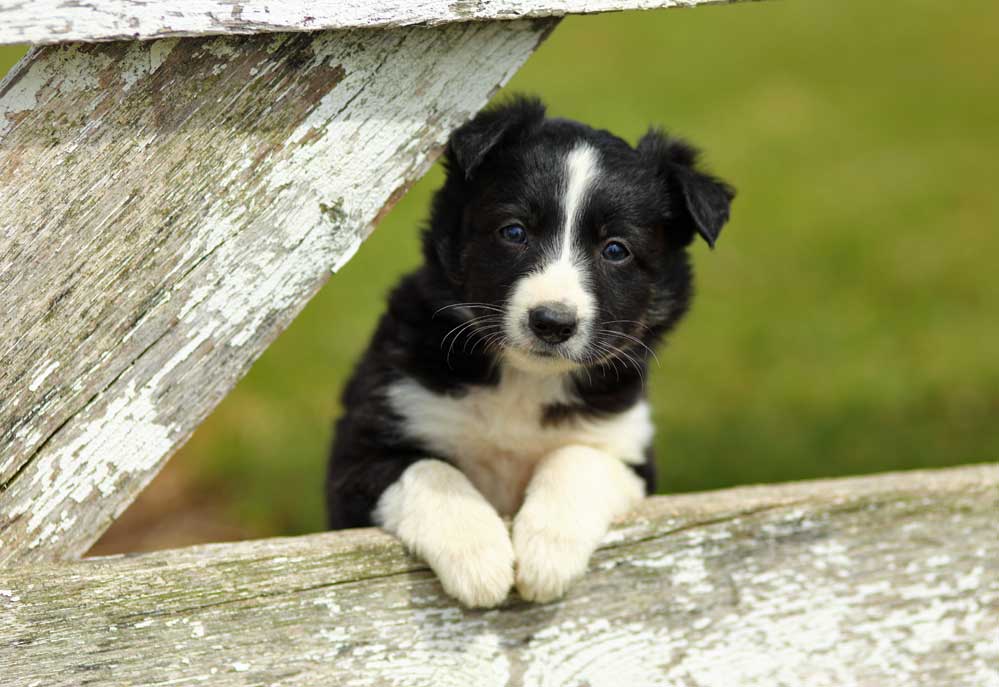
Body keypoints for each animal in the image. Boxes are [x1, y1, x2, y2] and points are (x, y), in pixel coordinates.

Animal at [328, 97, 736, 608]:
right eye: (514, 231)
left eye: (616, 250)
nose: (552, 323)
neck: (524, 380)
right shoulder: (360, 449)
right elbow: (429, 470)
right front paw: (478, 556)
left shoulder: (629, 450)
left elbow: (577, 459)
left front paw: (547, 554)